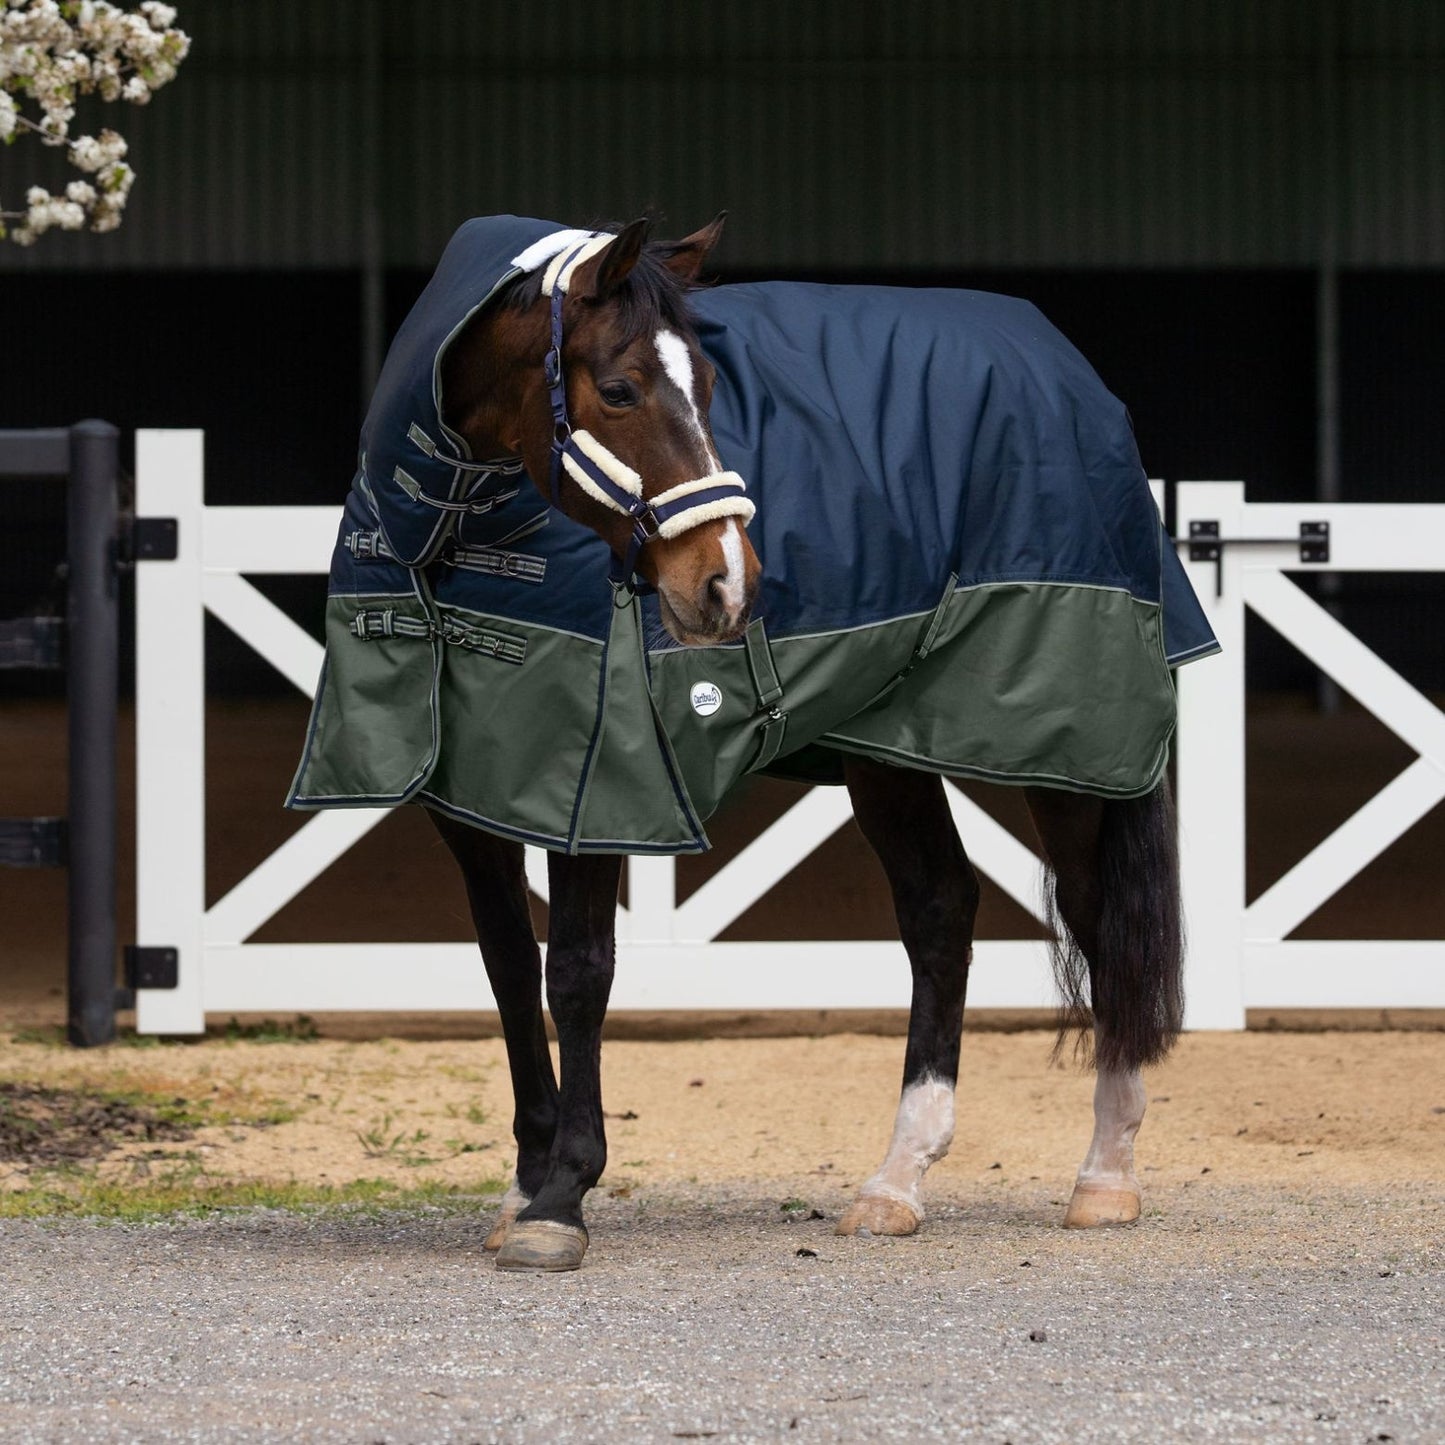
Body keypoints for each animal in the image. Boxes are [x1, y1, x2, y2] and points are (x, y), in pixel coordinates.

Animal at [291, 215, 1207, 1273]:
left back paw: (1104, 1175)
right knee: (941, 911)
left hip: (1062, 752)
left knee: (1100, 925)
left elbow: (579, 970)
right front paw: (524, 1182)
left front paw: (562, 1195)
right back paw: (897, 1180)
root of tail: (1069, 371)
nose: (728, 582)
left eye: (709, 385)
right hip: (888, 750)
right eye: (619, 389)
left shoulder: (600, 783)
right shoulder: (475, 792)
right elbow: (510, 969)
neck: (464, 521)